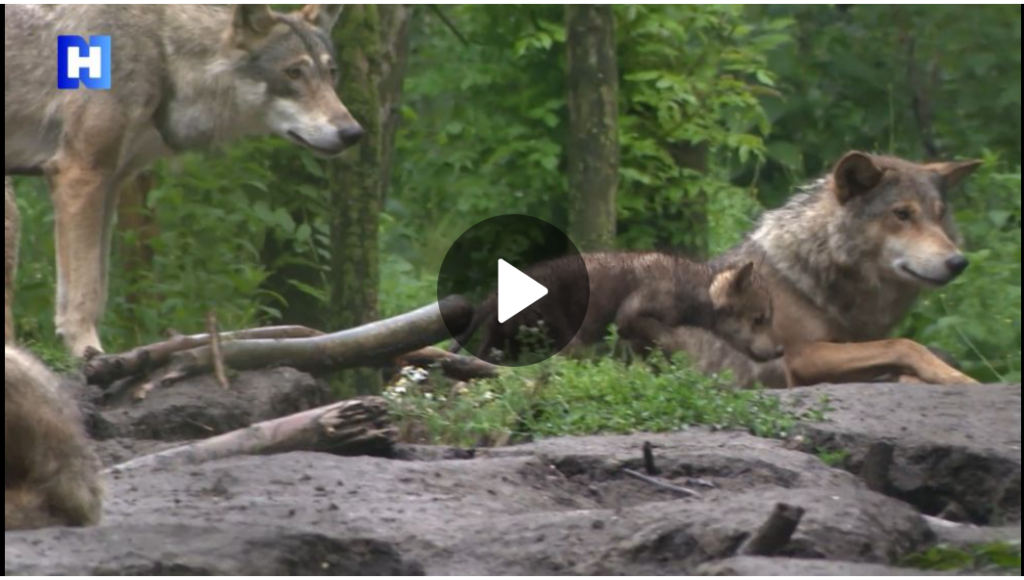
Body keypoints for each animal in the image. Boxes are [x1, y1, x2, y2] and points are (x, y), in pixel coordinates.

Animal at [3, 5, 364, 358]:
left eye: (331, 73)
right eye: (293, 73)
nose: (352, 133)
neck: (163, 53)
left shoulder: (112, 183)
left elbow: (98, 289)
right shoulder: (80, 173)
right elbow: (84, 292)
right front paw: (89, 353)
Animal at [704, 151, 983, 387]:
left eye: (940, 214)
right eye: (902, 214)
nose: (958, 262)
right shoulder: (801, 355)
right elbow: (903, 344)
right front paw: (958, 378)